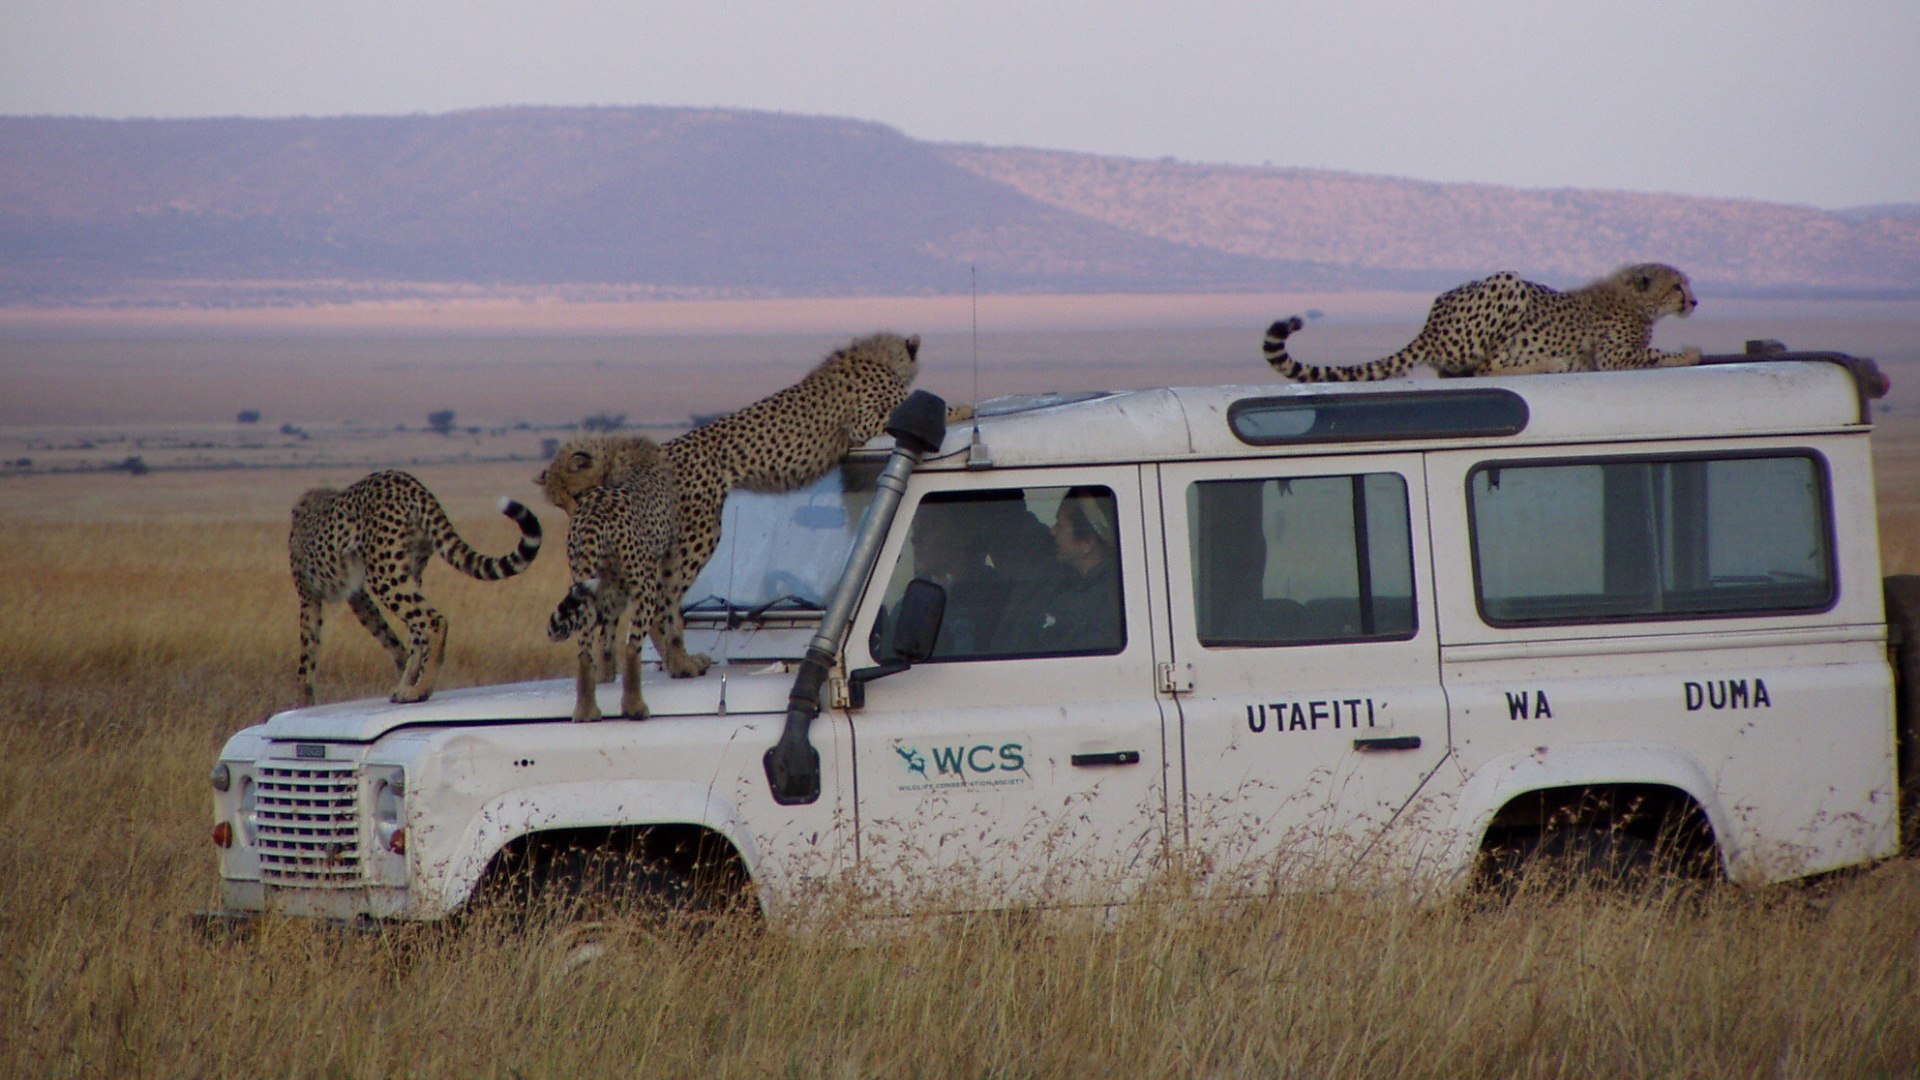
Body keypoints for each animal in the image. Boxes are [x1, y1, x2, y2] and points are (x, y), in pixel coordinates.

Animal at [288, 470, 541, 707]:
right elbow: (384, 633)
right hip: (410, 570)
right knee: (417, 632)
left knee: (433, 621)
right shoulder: (357, 595)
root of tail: (409, 482)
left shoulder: (309, 596)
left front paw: (303, 702)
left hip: (384, 574)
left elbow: (306, 650)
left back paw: (420, 690)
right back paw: (407, 687)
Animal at [545, 432, 679, 718]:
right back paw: (634, 706)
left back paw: (586, 711)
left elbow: (606, 636)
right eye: (558, 502)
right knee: (632, 647)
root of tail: (595, 511)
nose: (571, 513)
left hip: (585, 588)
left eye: (574, 494)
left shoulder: (609, 590)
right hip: (643, 587)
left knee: (584, 650)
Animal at [1267, 263, 1704, 380]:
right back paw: (1548, 363)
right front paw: (1689, 353)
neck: (1635, 297)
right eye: (1677, 286)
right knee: (1483, 369)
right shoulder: (1615, 357)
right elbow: (1657, 355)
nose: (1695, 300)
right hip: (1509, 282)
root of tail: (1430, 322)